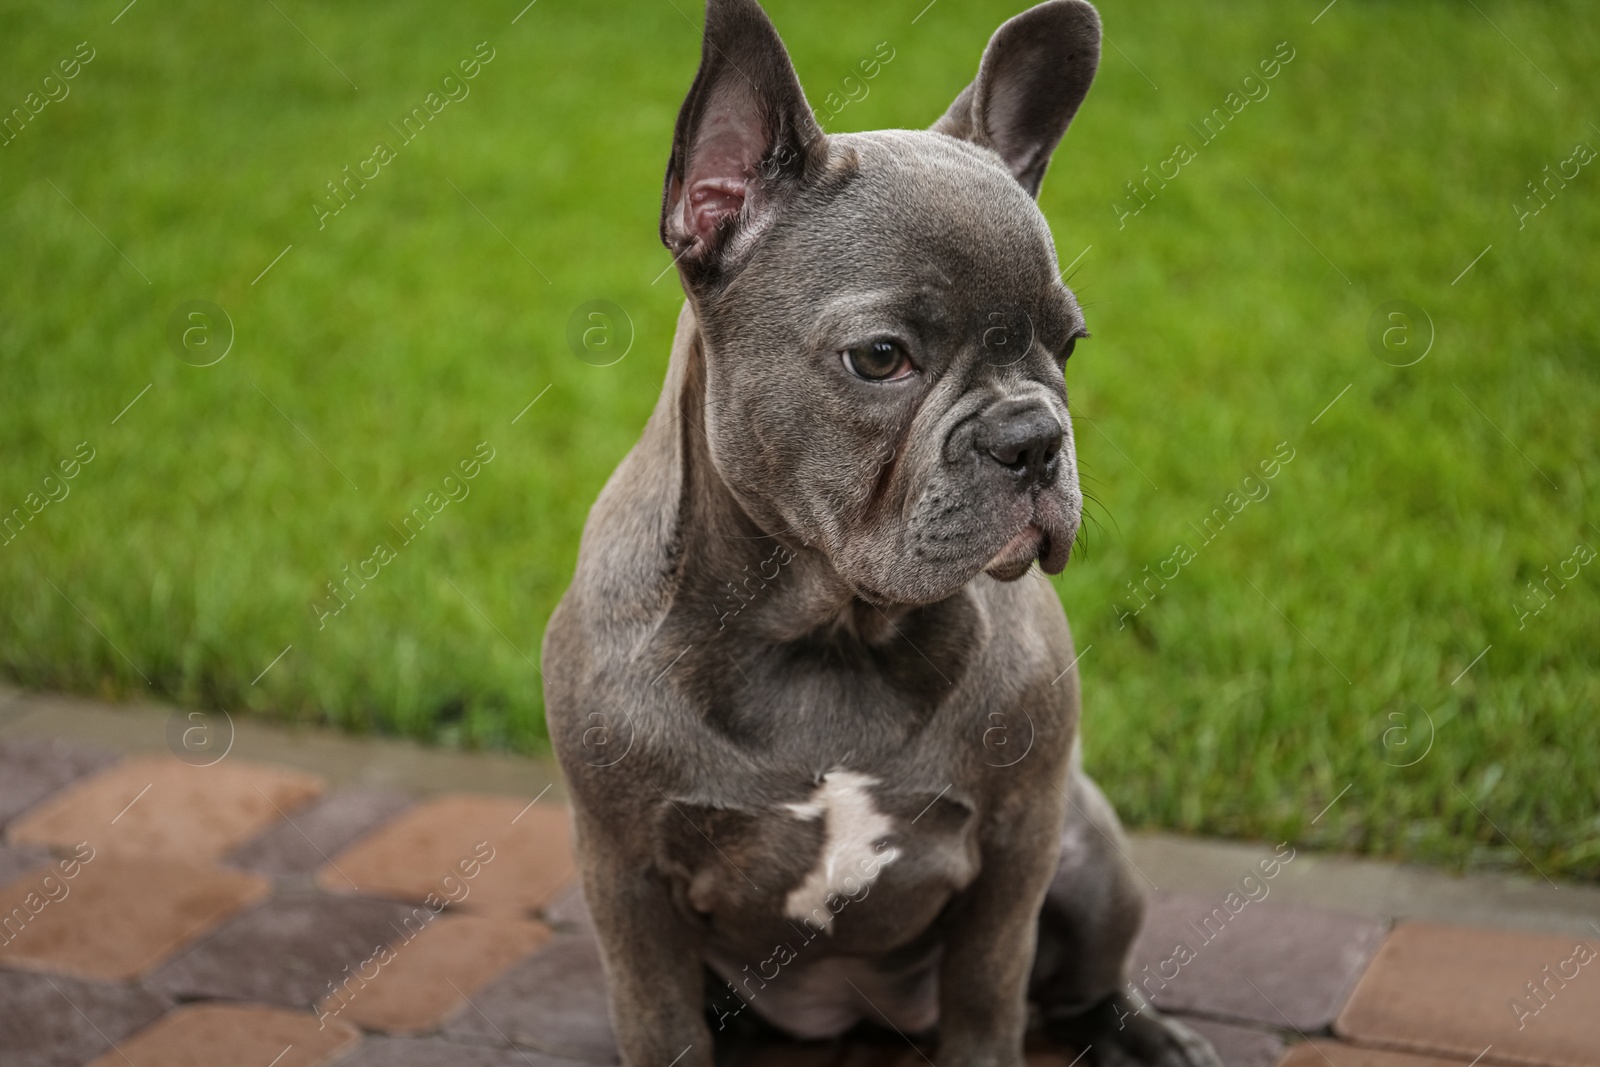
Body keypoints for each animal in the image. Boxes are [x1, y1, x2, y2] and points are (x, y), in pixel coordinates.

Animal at [544, 2, 1216, 1067]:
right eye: (881, 358)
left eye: (1067, 346)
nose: (1032, 438)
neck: (830, 633)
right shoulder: (627, 879)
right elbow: (661, 1022)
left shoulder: (1015, 853)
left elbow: (987, 1004)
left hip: (1092, 853)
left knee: (1087, 984)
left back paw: (1149, 1034)